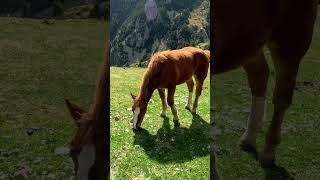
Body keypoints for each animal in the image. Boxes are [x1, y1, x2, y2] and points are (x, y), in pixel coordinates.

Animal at [211, 0, 318, 168]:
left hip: (290, 41)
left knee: (282, 97)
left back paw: (268, 152)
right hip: (248, 39)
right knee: (259, 74)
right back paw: (248, 139)